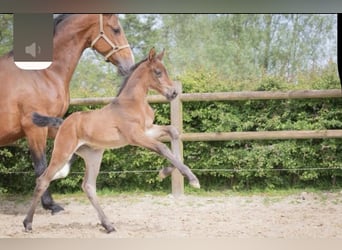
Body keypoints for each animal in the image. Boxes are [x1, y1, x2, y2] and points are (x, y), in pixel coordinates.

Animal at [23, 48, 200, 232]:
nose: (173, 93)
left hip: (93, 155)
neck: (132, 103)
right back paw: (28, 223)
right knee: (43, 180)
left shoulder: (148, 130)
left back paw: (108, 225)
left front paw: (165, 172)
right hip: (62, 152)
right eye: (158, 72)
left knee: (88, 186)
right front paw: (192, 179)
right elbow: (162, 148)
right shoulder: (135, 135)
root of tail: (64, 122)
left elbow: (173, 132)